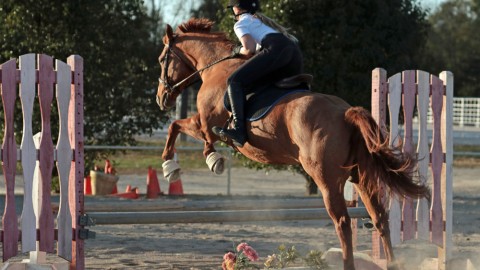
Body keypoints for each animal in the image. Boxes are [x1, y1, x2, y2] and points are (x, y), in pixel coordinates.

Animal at [156, 17, 430, 268]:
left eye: (161, 60)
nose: (161, 99)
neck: (215, 68)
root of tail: (346, 112)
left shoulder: (206, 124)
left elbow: (177, 127)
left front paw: (177, 166)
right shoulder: (205, 125)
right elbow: (180, 128)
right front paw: (203, 160)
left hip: (327, 179)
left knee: (342, 222)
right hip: (361, 176)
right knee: (380, 218)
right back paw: (393, 262)